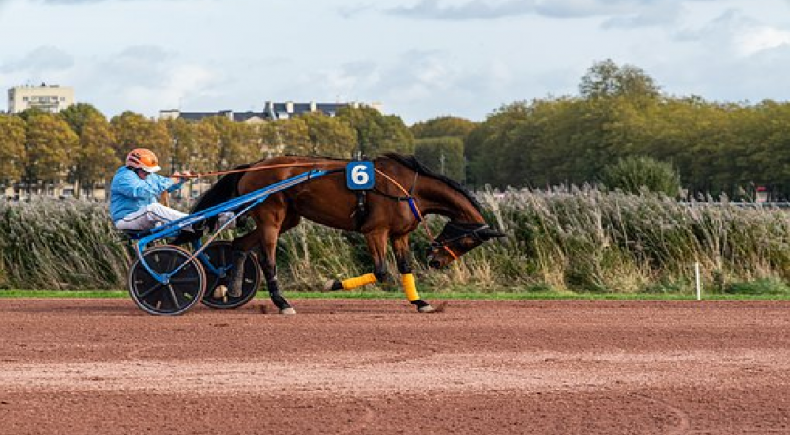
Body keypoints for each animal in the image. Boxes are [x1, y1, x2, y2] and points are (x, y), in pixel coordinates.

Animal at [177, 155, 504, 316]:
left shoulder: (399, 235)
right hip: (272, 217)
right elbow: (381, 271)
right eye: (466, 240)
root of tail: (255, 166)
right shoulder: (376, 231)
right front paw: (332, 283)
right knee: (268, 259)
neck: (405, 187)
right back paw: (282, 303)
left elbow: (405, 268)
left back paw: (229, 288)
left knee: (239, 244)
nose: (436, 261)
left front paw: (421, 302)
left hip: (289, 218)